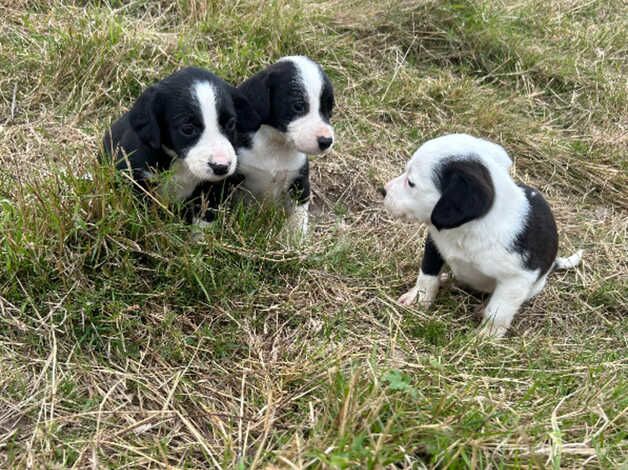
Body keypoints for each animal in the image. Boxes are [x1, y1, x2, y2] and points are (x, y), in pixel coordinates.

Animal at [103, 66, 260, 224]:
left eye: (231, 124)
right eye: (187, 129)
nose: (221, 167)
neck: (180, 164)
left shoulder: (212, 187)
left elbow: (206, 210)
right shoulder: (134, 175)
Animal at [234, 55, 334, 237]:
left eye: (329, 110)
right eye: (298, 106)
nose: (326, 141)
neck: (275, 146)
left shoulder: (299, 183)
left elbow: (298, 217)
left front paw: (296, 239)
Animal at [382, 134, 584, 336]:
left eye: (411, 183)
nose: (382, 190)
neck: (471, 229)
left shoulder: (516, 280)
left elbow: (498, 312)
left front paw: (486, 336)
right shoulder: (434, 244)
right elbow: (427, 276)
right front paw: (418, 300)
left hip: (534, 285)